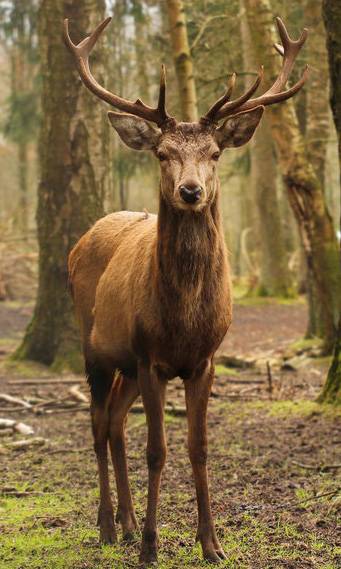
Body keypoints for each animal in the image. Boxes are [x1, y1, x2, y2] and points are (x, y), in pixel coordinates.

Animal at [63, 16, 308, 564]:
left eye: (215, 153)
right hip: (96, 348)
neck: (184, 319)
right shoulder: (150, 356)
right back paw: (109, 526)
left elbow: (199, 449)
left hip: (126, 365)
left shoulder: (204, 360)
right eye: (163, 153)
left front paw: (211, 544)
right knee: (96, 424)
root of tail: (81, 240)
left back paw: (128, 523)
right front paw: (152, 548)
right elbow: (158, 450)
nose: (191, 191)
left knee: (115, 423)